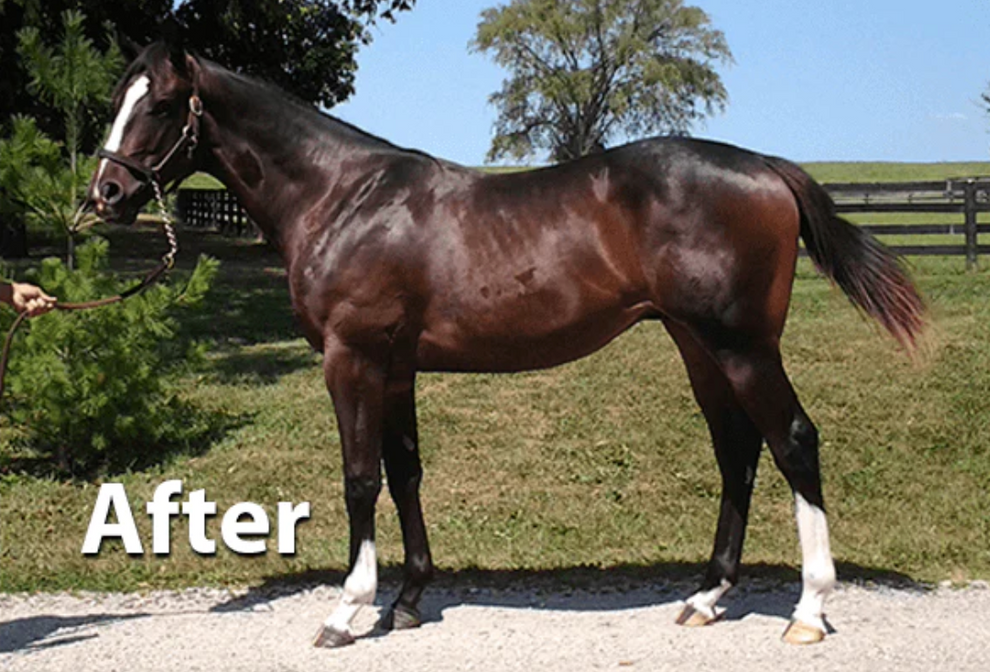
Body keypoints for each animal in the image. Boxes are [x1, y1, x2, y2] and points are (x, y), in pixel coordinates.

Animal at [86, 42, 925, 647]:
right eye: (119, 99)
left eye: (161, 104)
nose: (105, 195)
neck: (344, 198)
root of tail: (767, 169)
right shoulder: (396, 366)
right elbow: (405, 472)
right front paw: (409, 599)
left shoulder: (352, 358)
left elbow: (360, 479)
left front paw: (347, 611)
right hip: (699, 345)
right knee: (737, 452)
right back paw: (707, 596)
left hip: (742, 344)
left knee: (793, 441)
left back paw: (808, 612)